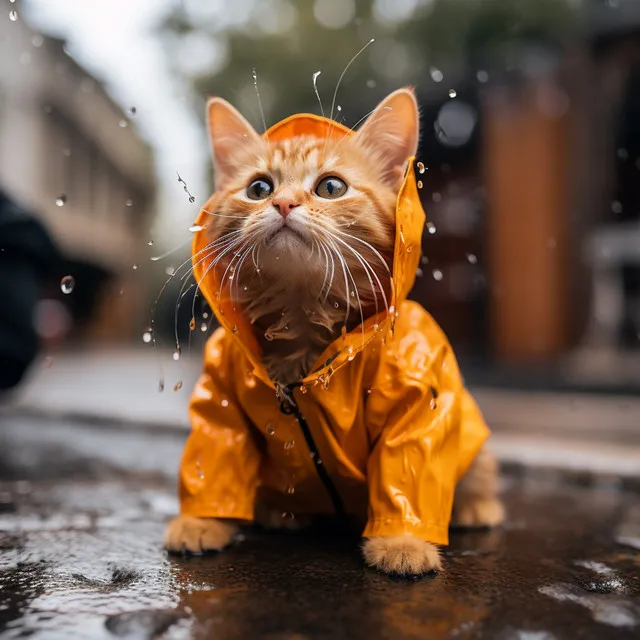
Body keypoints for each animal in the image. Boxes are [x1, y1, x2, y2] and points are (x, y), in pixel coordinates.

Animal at [162, 86, 502, 576]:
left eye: (331, 187)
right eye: (259, 188)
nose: (283, 203)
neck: (305, 325)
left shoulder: (419, 394)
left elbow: (408, 463)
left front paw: (402, 540)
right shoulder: (222, 392)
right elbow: (214, 452)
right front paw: (202, 521)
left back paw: (477, 507)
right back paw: (281, 511)